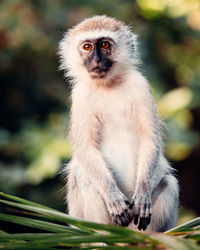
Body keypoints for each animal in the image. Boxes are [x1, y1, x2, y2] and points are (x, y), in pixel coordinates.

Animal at [58, 15, 179, 232]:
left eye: (105, 45)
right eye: (87, 46)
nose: (97, 60)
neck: (108, 86)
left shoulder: (140, 85)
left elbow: (150, 140)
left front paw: (143, 192)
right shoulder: (80, 95)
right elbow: (86, 148)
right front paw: (112, 195)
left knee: (169, 182)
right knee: (84, 177)